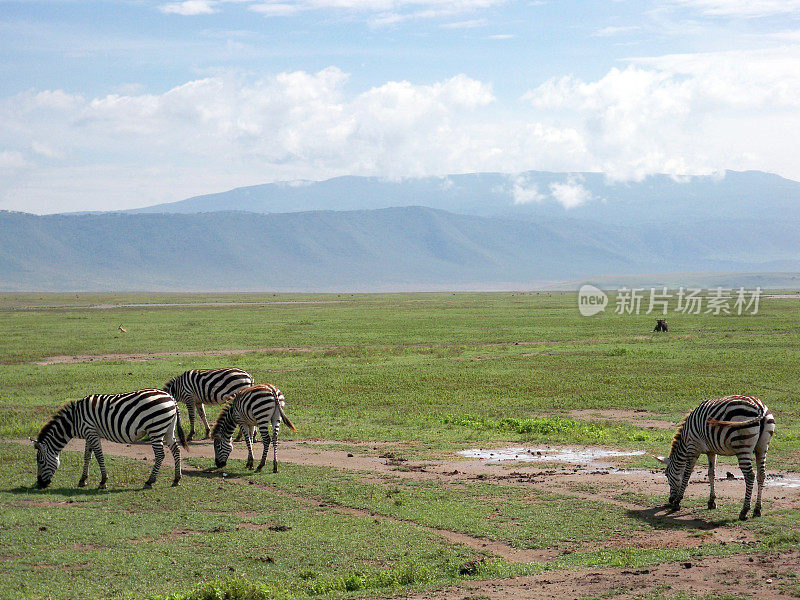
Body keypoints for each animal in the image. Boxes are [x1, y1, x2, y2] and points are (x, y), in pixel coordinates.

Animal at [32, 390, 188, 492]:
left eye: (40, 462)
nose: (39, 484)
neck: (74, 420)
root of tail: (171, 398)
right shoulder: (90, 433)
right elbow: (87, 456)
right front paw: (83, 480)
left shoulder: (91, 432)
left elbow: (99, 456)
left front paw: (103, 481)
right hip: (168, 428)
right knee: (176, 450)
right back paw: (176, 479)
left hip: (155, 429)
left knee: (160, 455)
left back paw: (150, 481)